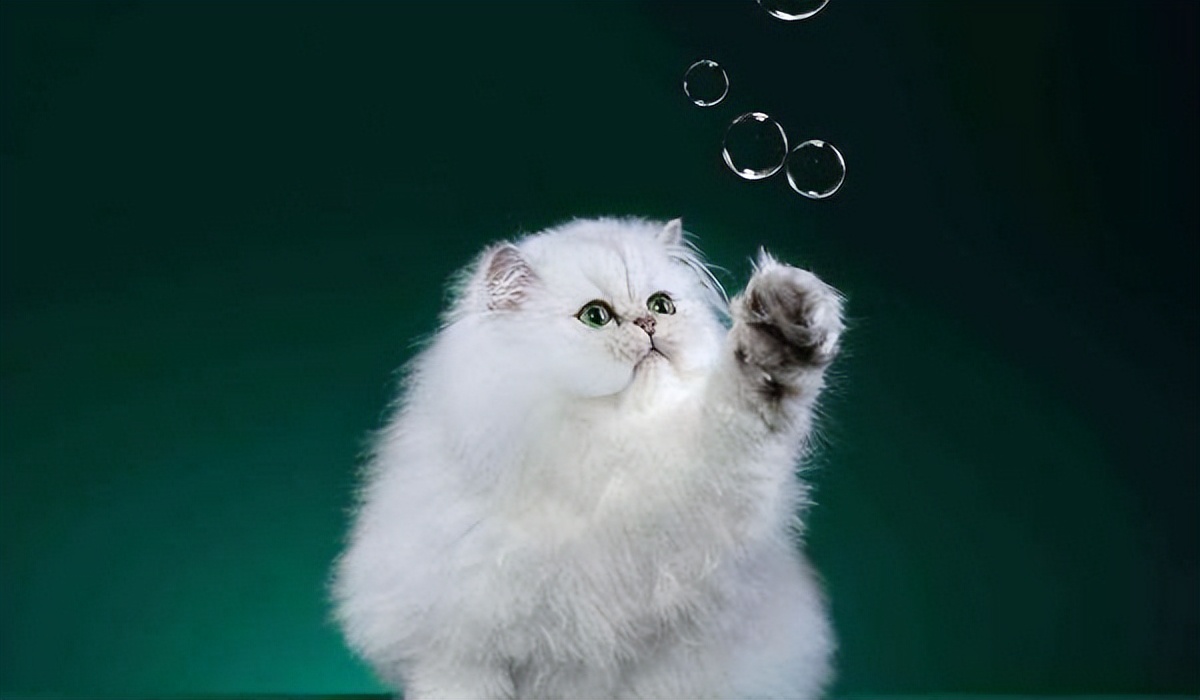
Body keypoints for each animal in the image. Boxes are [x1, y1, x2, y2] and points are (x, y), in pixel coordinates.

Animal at [332, 217, 844, 699]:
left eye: (662, 305)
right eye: (596, 317)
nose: (647, 325)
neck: (605, 444)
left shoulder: (699, 488)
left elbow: (739, 411)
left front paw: (782, 334)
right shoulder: (459, 645)